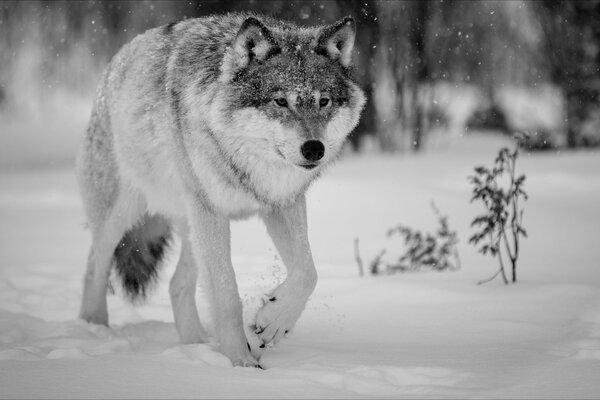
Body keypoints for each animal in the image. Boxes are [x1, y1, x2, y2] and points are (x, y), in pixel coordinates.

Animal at [75, 11, 366, 368]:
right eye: (280, 101)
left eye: (324, 101)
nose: (314, 149)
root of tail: (115, 62)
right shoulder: (211, 212)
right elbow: (227, 294)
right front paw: (241, 363)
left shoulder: (282, 204)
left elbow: (308, 273)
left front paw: (273, 321)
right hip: (122, 216)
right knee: (94, 267)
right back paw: (94, 332)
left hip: (191, 227)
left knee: (177, 285)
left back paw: (196, 346)